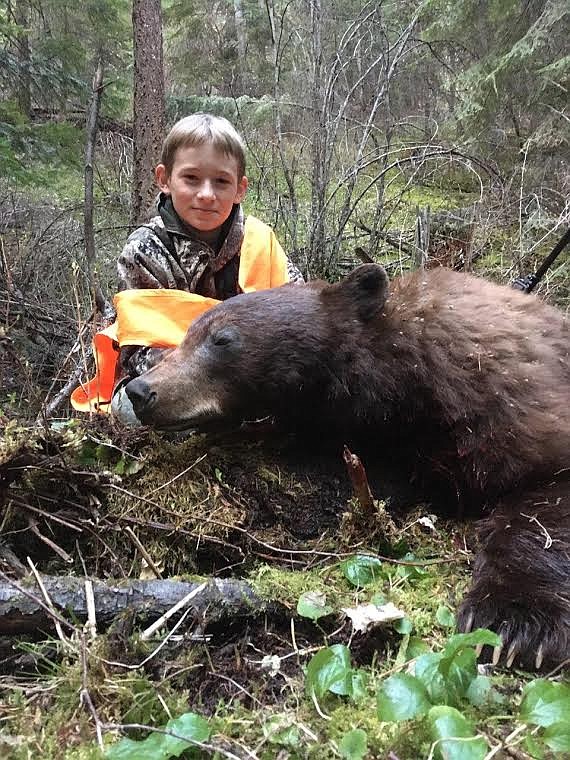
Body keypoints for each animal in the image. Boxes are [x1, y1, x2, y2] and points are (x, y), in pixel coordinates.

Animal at [124, 264, 568, 668]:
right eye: (188, 333)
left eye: (221, 339)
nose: (140, 390)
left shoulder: (503, 401)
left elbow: (543, 499)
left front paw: (515, 622)